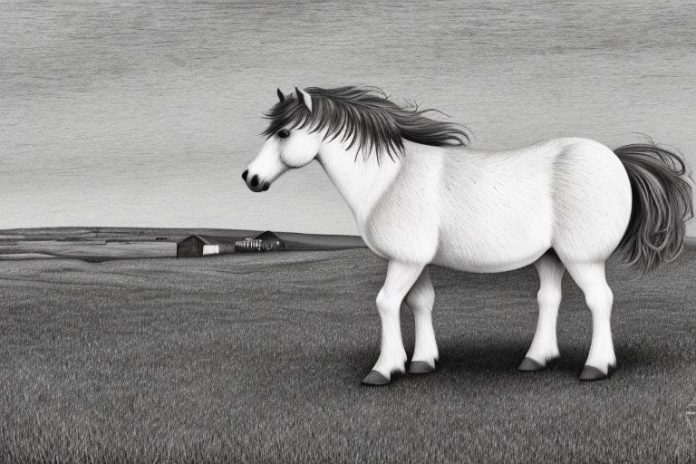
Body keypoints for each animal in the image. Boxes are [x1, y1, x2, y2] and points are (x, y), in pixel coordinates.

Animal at [242, 86, 693, 385]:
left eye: (284, 133)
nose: (250, 178)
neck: (390, 179)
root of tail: (616, 159)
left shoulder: (405, 260)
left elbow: (387, 303)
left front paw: (383, 369)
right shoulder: (415, 260)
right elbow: (420, 303)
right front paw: (421, 362)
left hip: (582, 257)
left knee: (600, 301)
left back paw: (596, 367)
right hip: (550, 257)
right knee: (550, 299)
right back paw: (536, 359)